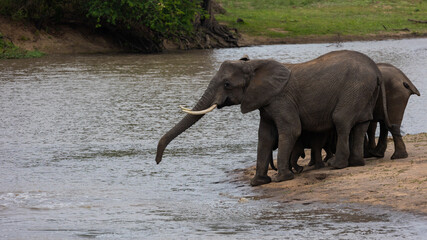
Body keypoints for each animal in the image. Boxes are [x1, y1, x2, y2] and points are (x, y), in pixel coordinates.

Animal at [156, 50, 392, 186]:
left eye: (227, 84)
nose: (157, 161)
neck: (254, 65)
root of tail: (376, 70)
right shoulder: (266, 101)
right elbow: (265, 136)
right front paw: (258, 182)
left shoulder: (281, 99)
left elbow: (291, 130)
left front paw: (281, 178)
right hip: (364, 92)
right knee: (361, 123)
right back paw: (356, 163)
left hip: (355, 89)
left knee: (341, 120)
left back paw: (337, 165)